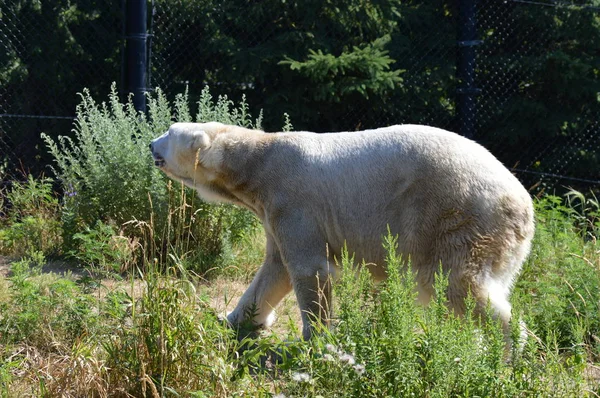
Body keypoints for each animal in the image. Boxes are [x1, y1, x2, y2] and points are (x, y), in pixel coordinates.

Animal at [150, 123, 536, 340]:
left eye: (169, 132)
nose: (151, 144)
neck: (260, 158)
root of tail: (525, 206)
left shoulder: (293, 198)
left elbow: (309, 269)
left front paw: (315, 339)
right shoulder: (272, 211)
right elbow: (274, 270)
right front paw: (232, 319)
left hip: (458, 217)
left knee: (458, 285)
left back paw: (508, 353)